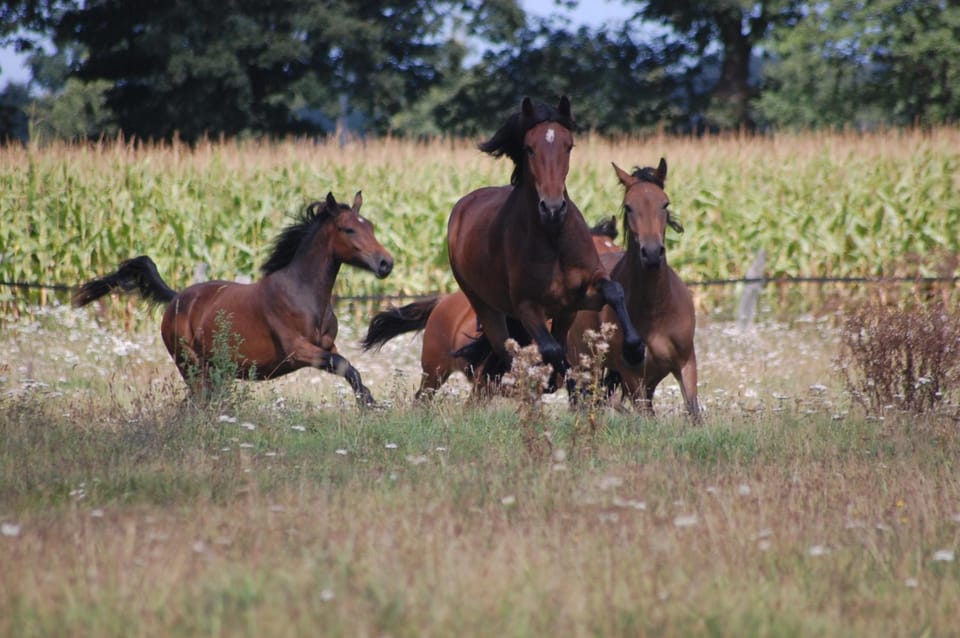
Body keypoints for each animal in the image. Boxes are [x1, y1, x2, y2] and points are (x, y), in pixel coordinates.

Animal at [72, 191, 394, 406]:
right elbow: (345, 366)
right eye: (349, 229)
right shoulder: (298, 350)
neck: (303, 293)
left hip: (215, 371)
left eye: (371, 226)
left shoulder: (326, 346)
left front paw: (368, 401)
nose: (385, 263)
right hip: (191, 366)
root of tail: (177, 298)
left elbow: (345, 365)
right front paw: (368, 403)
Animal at [445, 96, 645, 390]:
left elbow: (615, 291)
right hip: (487, 308)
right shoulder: (527, 306)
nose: (552, 208)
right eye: (529, 148)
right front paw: (565, 382)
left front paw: (634, 349)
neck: (553, 238)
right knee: (509, 352)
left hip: (564, 313)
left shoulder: (585, 293)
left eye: (569, 146)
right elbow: (551, 350)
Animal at [568, 159, 699, 418]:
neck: (657, 308)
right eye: (629, 207)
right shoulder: (631, 375)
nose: (652, 253)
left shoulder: (686, 363)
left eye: (665, 203)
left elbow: (693, 412)